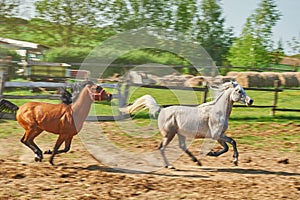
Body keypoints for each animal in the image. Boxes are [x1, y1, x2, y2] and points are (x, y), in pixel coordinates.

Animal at [119, 80, 253, 168]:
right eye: (238, 91)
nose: (251, 101)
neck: (217, 111)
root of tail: (161, 110)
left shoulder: (219, 136)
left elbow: (227, 147)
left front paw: (212, 154)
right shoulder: (217, 135)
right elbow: (231, 143)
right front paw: (234, 160)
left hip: (179, 134)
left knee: (181, 146)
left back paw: (197, 161)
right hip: (169, 134)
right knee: (162, 147)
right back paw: (169, 165)